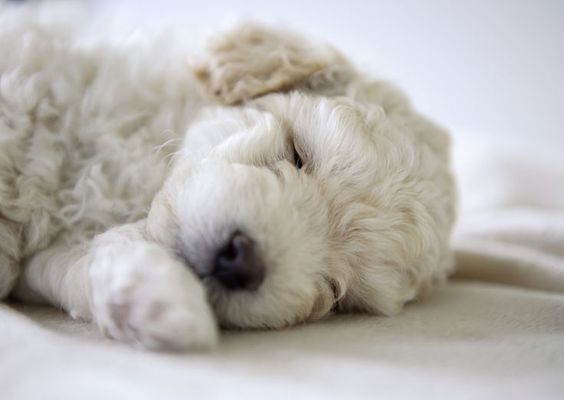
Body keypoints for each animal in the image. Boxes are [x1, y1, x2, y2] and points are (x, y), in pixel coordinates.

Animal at [0, 11, 456, 350]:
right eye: (297, 154)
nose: (243, 262)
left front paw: (159, 299)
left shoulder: (48, 258)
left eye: (337, 295)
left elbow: (68, 264)